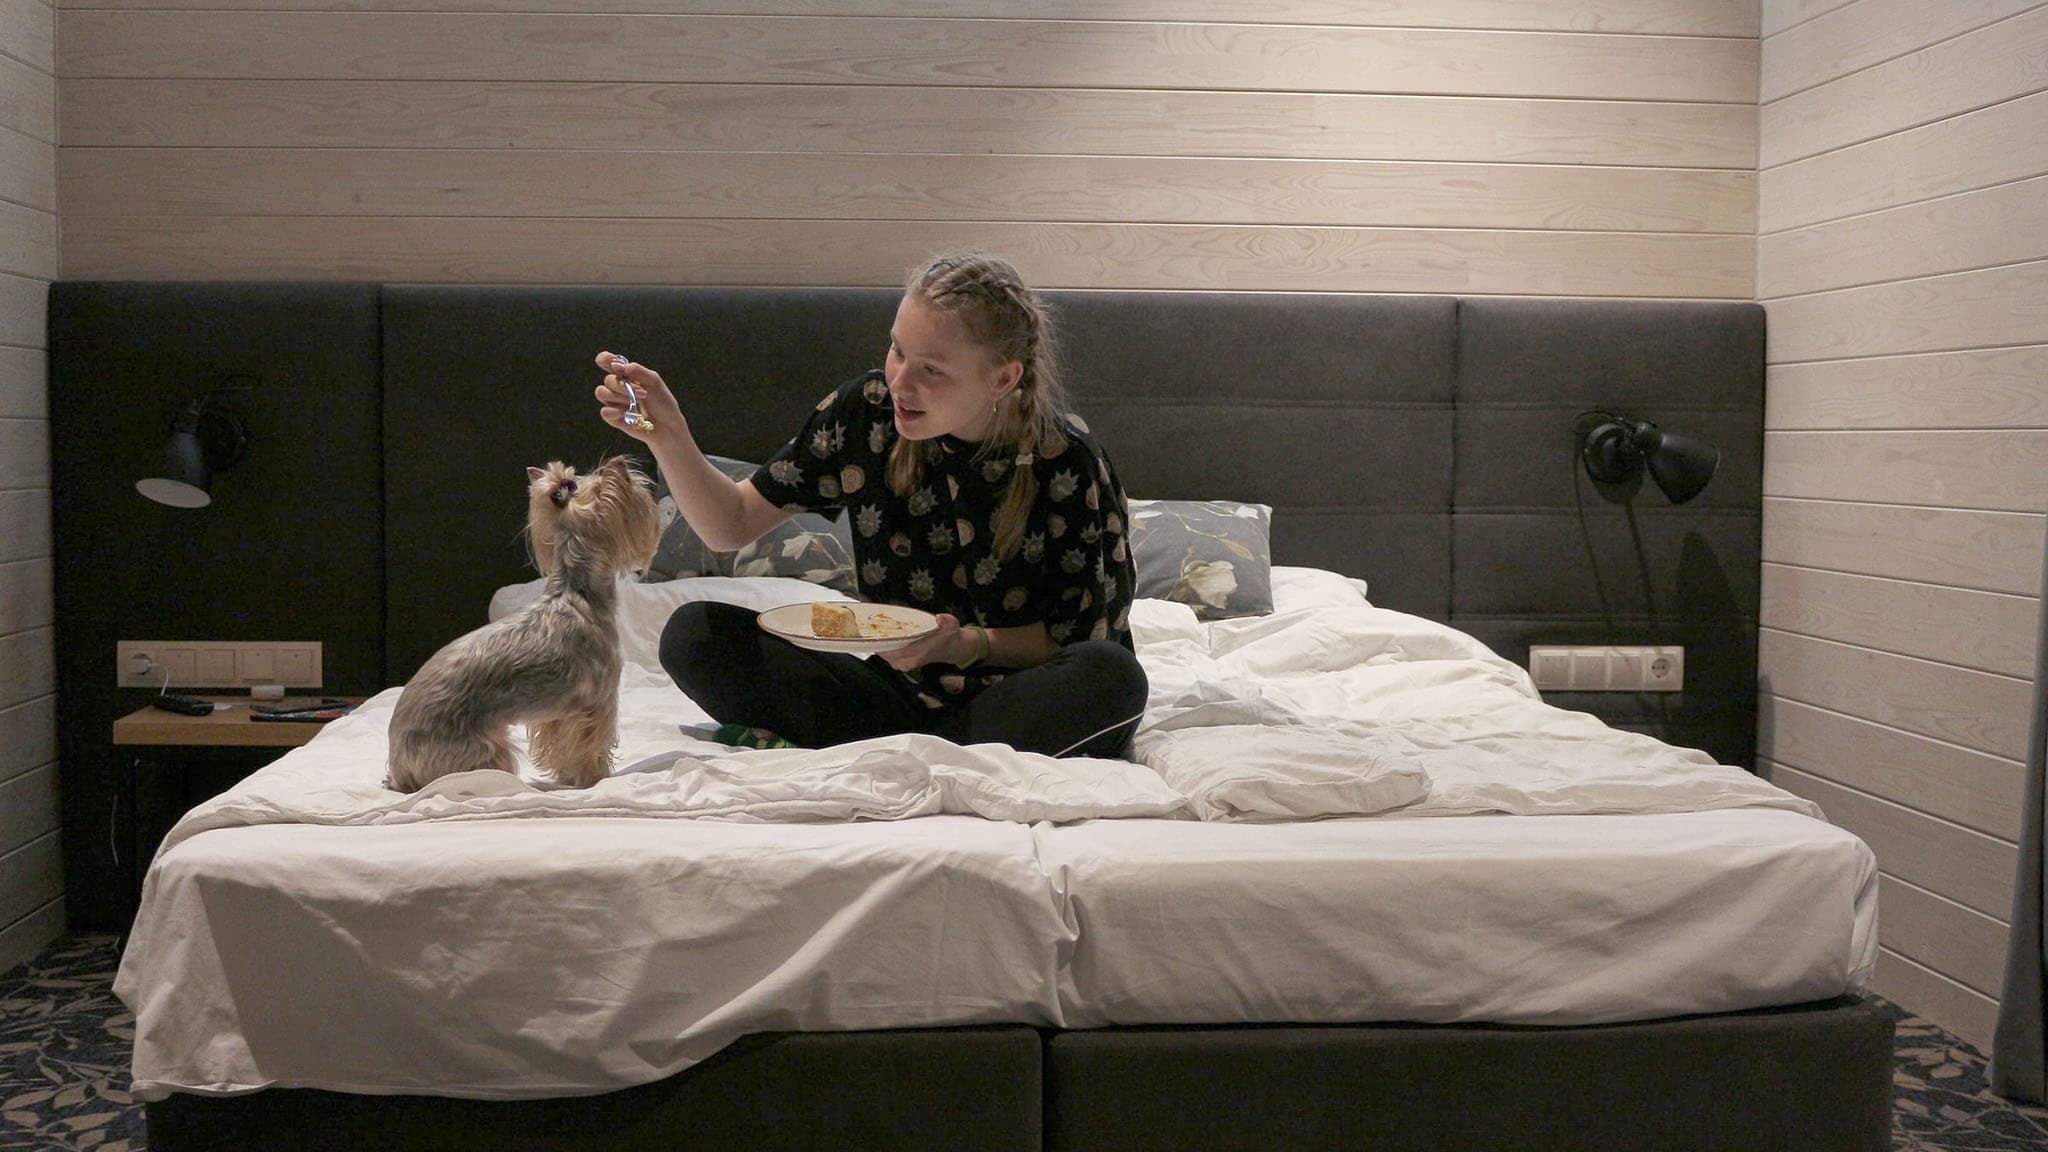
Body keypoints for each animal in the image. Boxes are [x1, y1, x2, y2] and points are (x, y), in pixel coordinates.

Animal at [387, 455, 659, 787]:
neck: (575, 589)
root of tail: (400, 770)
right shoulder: (597, 701)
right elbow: (591, 746)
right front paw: (595, 780)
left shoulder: (559, 713)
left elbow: (560, 746)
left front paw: (566, 777)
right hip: (482, 750)